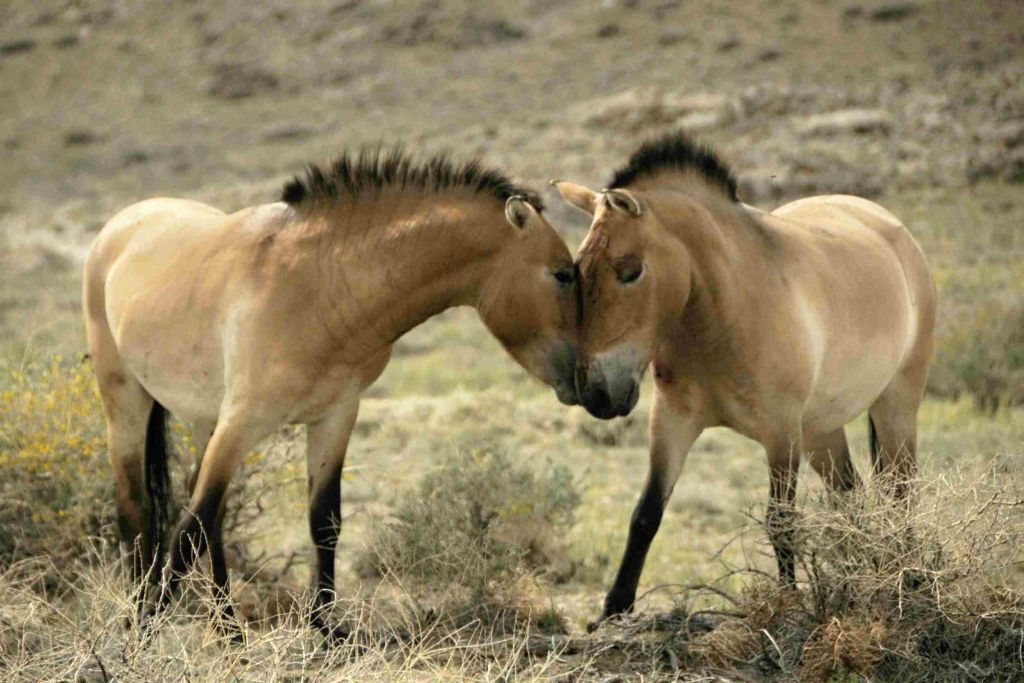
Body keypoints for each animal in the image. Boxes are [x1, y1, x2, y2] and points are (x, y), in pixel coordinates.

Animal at [83, 147, 581, 638]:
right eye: (562, 274)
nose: (588, 384)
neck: (318, 285)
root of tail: (118, 225)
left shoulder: (335, 416)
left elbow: (323, 521)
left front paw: (324, 628)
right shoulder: (244, 419)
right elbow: (187, 532)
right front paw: (147, 628)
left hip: (208, 420)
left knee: (210, 514)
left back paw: (227, 624)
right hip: (126, 400)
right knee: (137, 508)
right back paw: (141, 612)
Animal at [552, 131, 937, 622]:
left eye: (630, 271)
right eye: (576, 272)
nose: (597, 393)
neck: (723, 312)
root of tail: (892, 228)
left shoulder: (780, 435)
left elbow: (781, 522)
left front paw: (787, 603)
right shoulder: (672, 421)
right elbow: (646, 513)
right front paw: (613, 609)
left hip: (895, 407)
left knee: (902, 495)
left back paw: (911, 581)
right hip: (821, 430)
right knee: (850, 498)